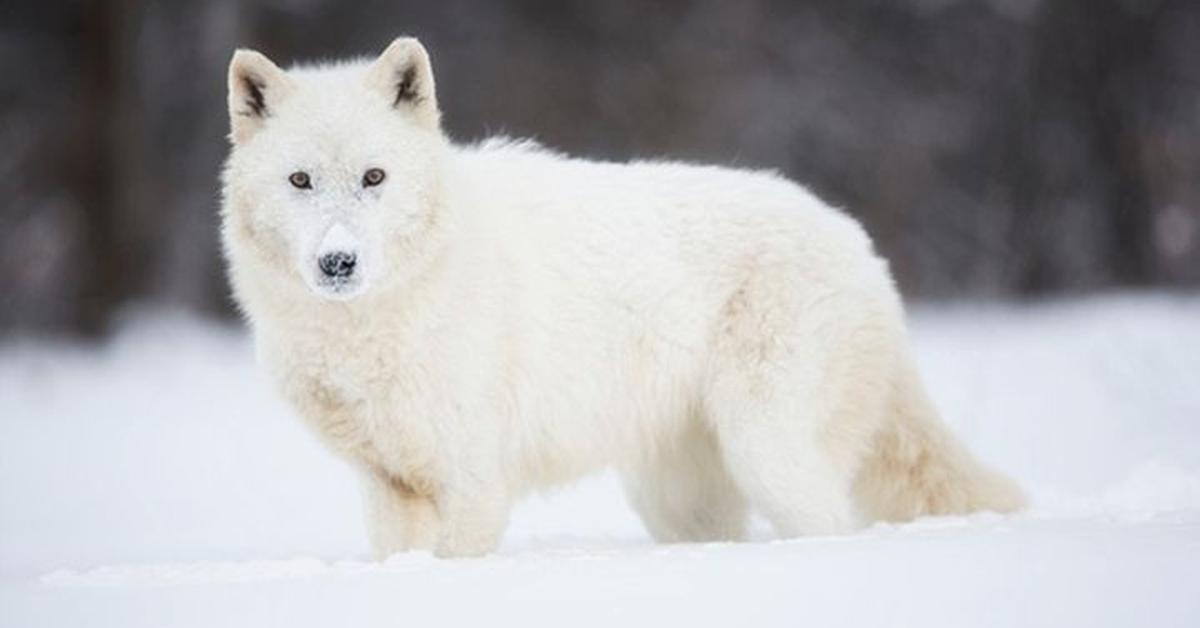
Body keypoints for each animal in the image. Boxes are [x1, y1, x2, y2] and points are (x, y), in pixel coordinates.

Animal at [223, 36, 1022, 557]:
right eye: (300, 181)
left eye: (374, 177)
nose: (338, 262)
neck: (377, 325)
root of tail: (860, 246)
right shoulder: (389, 485)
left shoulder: (474, 482)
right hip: (680, 500)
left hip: (769, 455)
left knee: (832, 533)